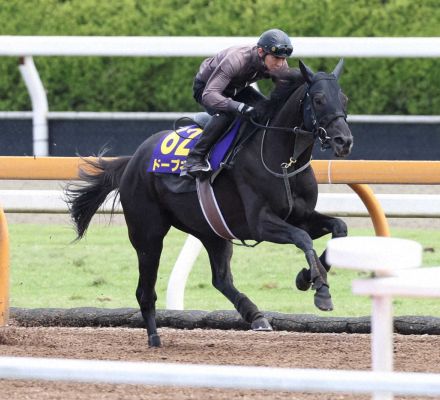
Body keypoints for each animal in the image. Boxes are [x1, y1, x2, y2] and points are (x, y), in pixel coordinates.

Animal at [66, 58, 354, 346]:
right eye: (318, 99)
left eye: (344, 98)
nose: (344, 141)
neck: (284, 161)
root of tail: (133, 160)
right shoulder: (261, 223)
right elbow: (302, 238)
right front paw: (320, 290)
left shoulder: (300, 215)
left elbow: (339, 228)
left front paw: (307, 277)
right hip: (147, 233)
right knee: (145, 290)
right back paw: (154, 338)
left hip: (211, 230)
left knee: (221, 279)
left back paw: (255, 315)